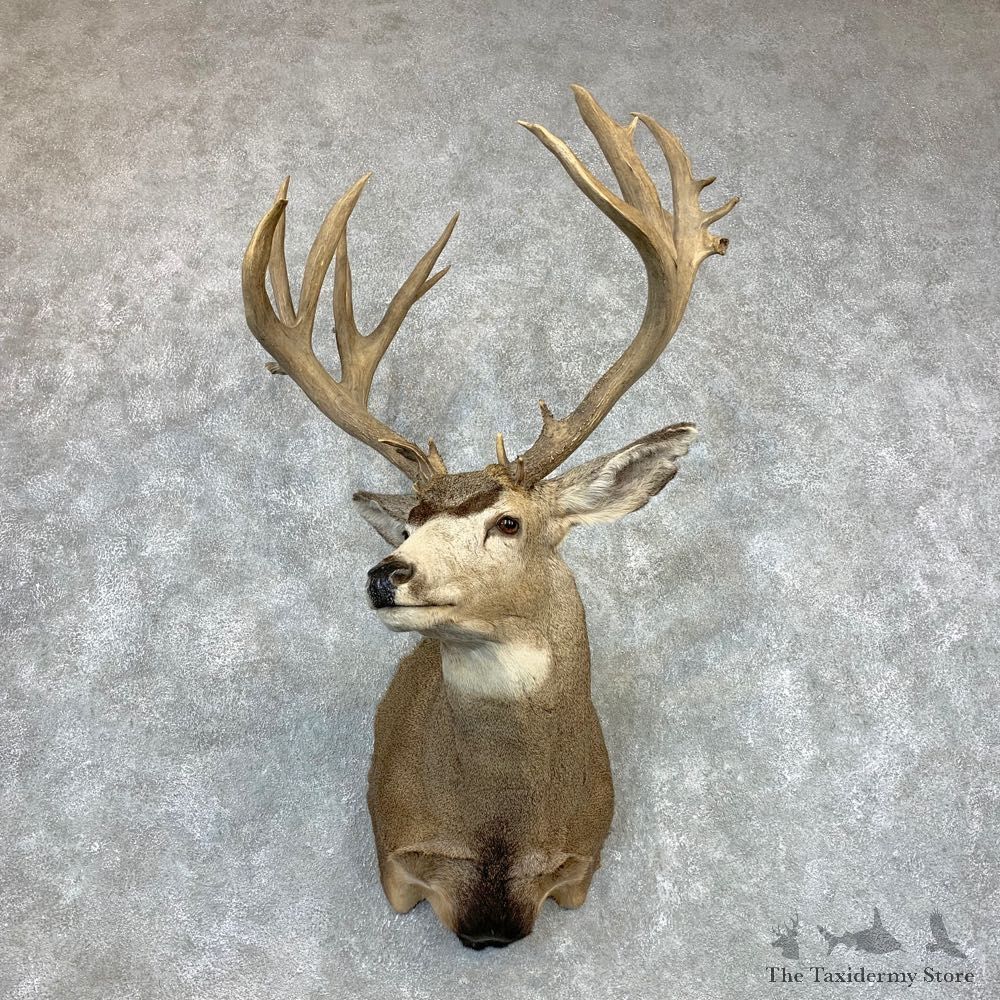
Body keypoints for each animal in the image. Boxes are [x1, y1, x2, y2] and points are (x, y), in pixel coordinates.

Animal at [241, 85, 737, 949]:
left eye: (507, 523)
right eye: (408, 524)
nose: (387, 573)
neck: (499, 833)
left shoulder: (582, 860)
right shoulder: (398, 853)